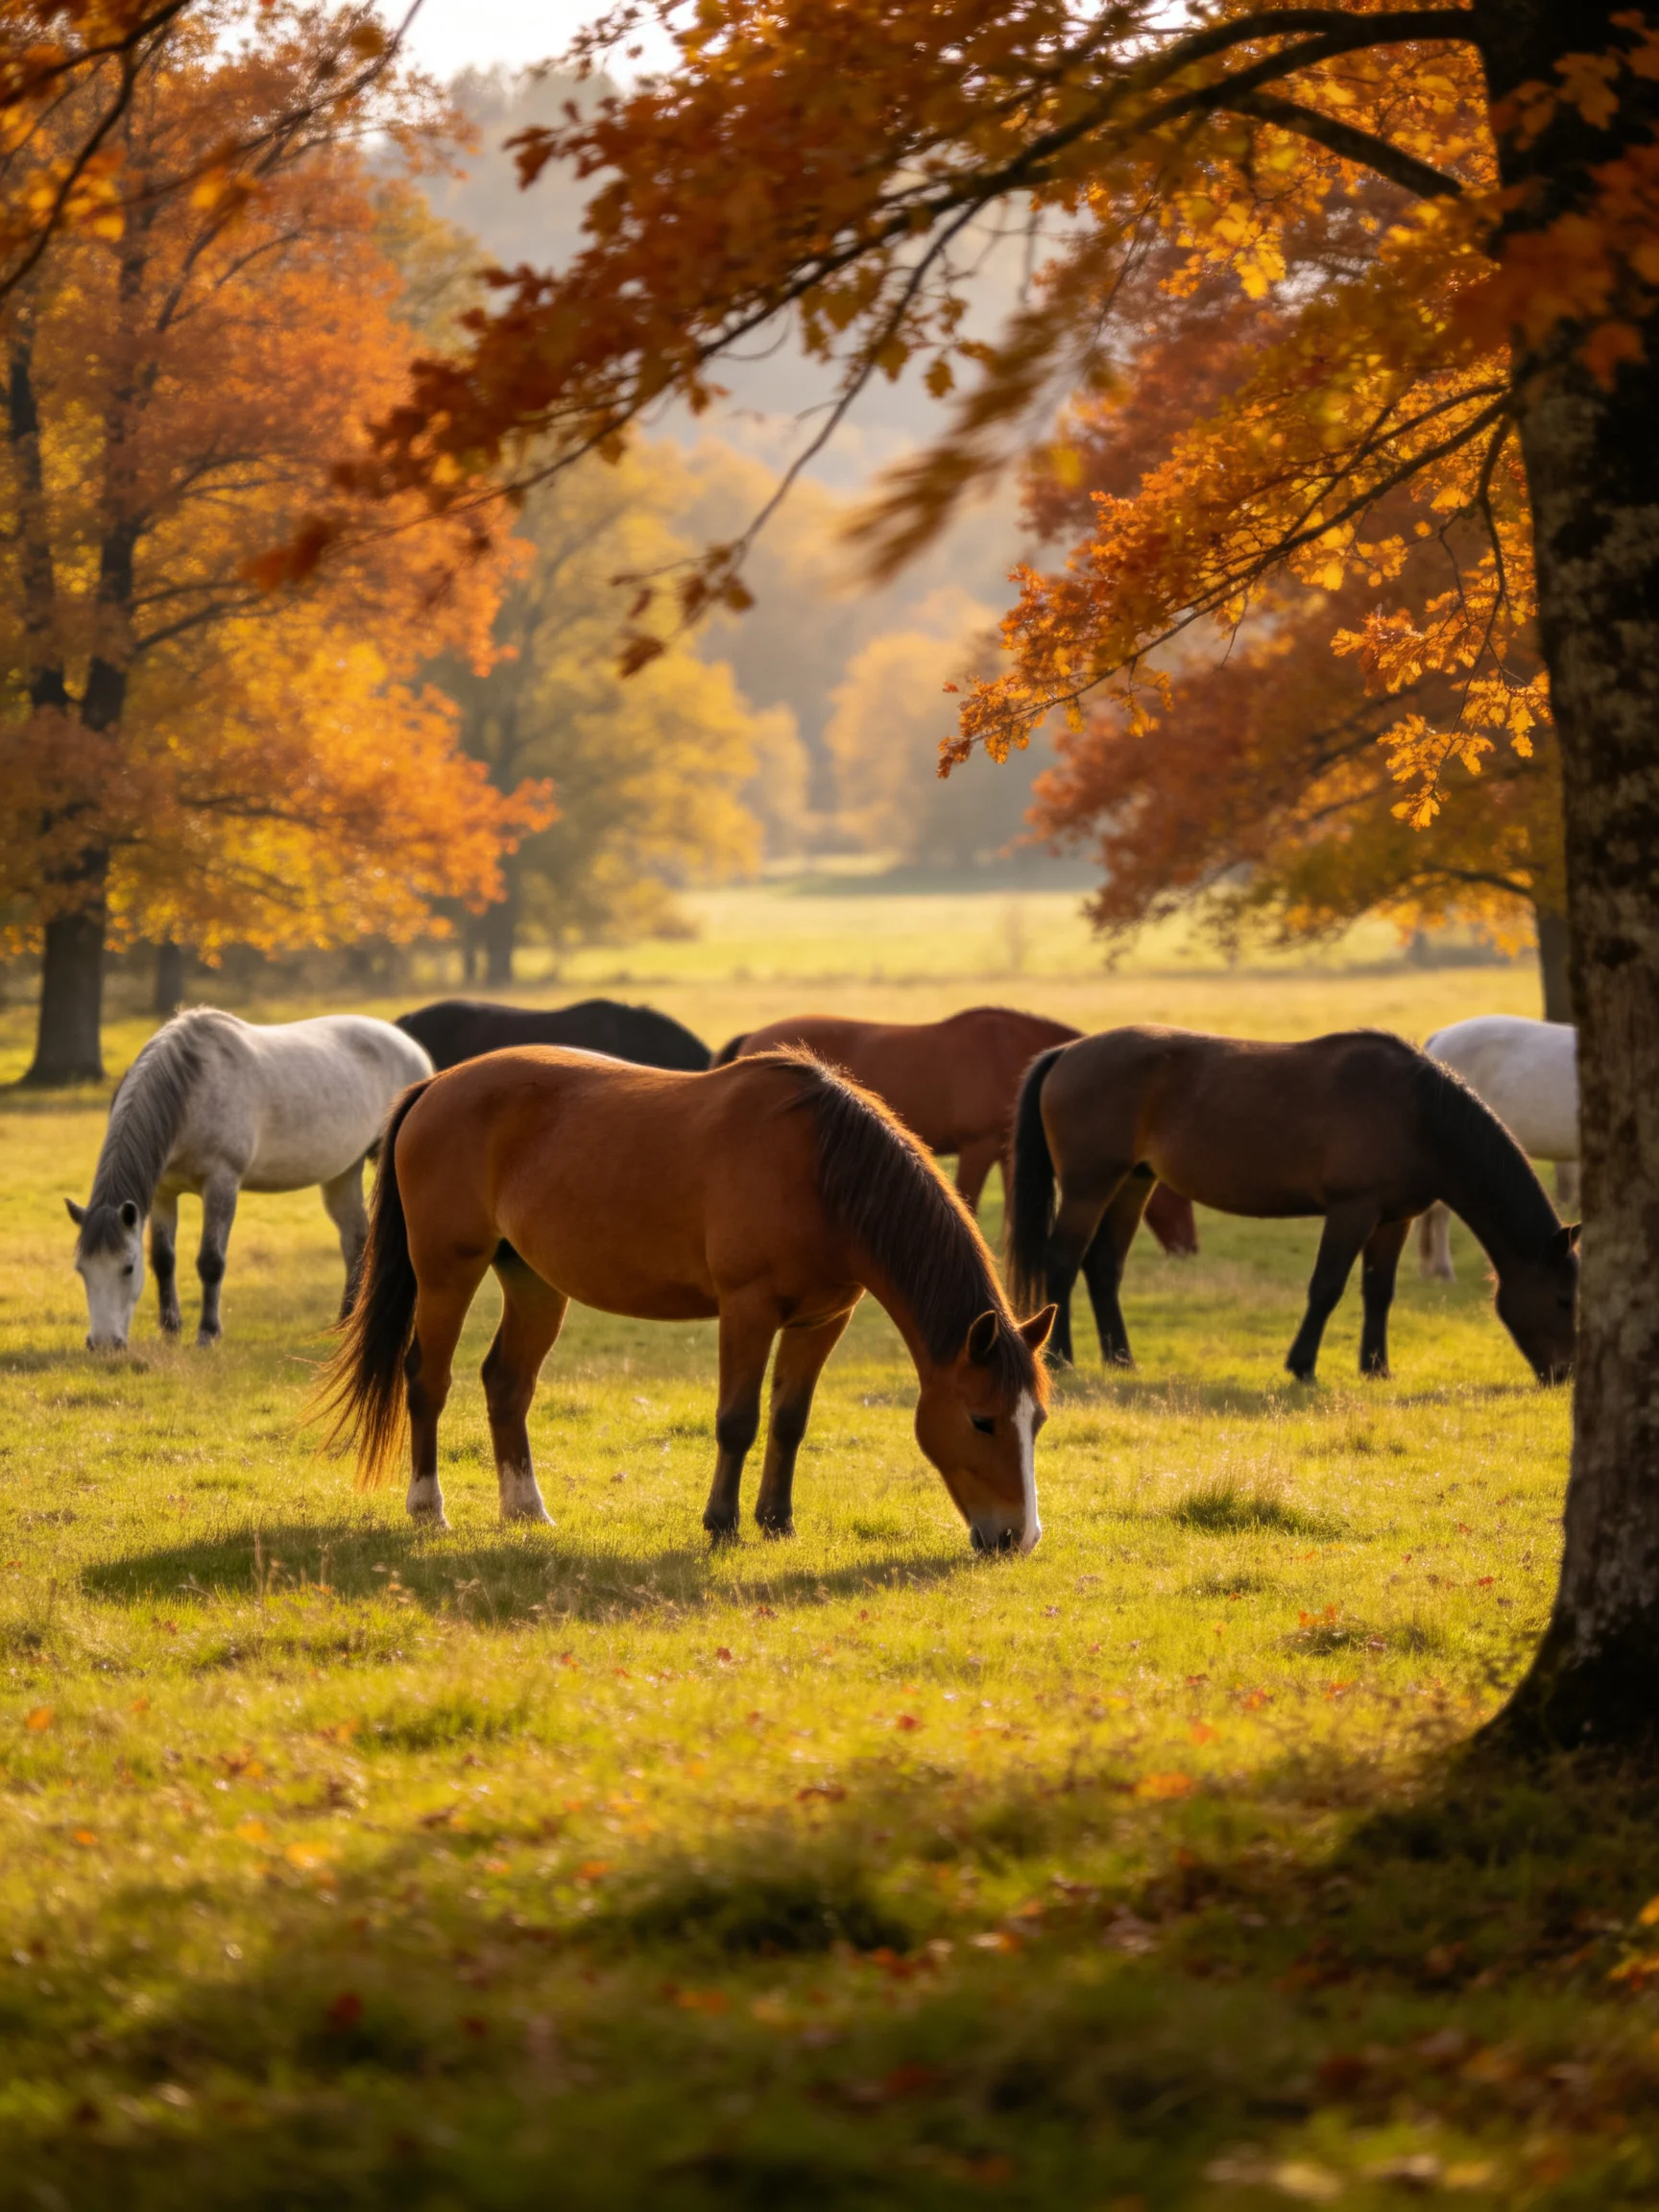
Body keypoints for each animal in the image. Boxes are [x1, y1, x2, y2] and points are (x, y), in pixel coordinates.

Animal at [67, 1009, 432, 1351]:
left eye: (128, 1268)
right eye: (81, 1269)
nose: (103, 1343)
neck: (192, 1088)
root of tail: (410, 1046)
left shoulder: (222, 1183)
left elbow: (211, 1261)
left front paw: (208, 1333)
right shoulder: (163, 1193)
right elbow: (163, 1259)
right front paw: (170, 1330)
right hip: (344, 1171)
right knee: (355, 1238)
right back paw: (344, 1321)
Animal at [316, 1047, 1057, 1551]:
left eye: (1038, 1421)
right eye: (982, 1420)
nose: (1018, 1537)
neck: (820, 1170)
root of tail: (436, 1085)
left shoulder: (822, 1320)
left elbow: (790, 1421)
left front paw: (777, 1522)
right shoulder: (747, 1310)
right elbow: (738, 1421)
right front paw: (722, 1524)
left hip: (532, 1280)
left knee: (507, 1383)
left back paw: (526, 1509)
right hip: (447, 1271)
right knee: (427, 1380)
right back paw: (428, 1508)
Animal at [714, 1007, 1199, 1257]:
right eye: (1174, 1196)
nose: (1189, 1248)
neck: (1012, 1053)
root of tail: (752, 1039)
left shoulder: (1007, 1152)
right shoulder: (977, 1148)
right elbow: (968, 1201)